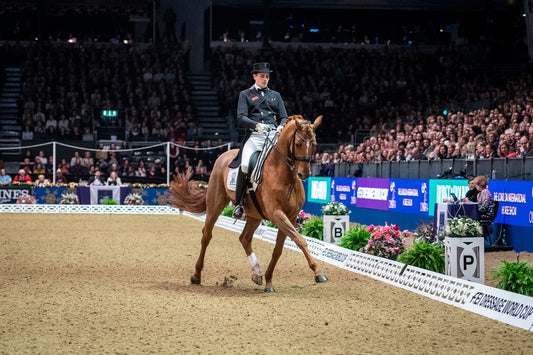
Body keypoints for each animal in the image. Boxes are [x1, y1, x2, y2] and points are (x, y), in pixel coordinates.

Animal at [170, 115, 328, 294]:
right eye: (298, 144)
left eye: (314, 144)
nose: (304, 174)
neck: (284, 175)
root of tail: (223, 155)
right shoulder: (276, 213)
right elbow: (300, 240)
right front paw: (318, 272)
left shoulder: (291, 216)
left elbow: (279, 249)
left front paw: (268, 281)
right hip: (216, 204)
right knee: (206, 235)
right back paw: (196, 276)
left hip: (255, 214)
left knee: (244, 238)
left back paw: (257, 274)